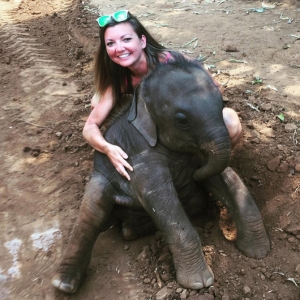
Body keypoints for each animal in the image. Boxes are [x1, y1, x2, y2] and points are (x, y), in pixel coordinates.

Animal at [51, 55, 270, 292]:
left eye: (222, 104)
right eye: (182, 119)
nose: (195, 175)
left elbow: (228, 180)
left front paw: (258, 253)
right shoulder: (137, 157)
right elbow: (161, 200)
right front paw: (199, 284)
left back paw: (131, 231)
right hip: (101, 178)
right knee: (91, 211)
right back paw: (63, 285)